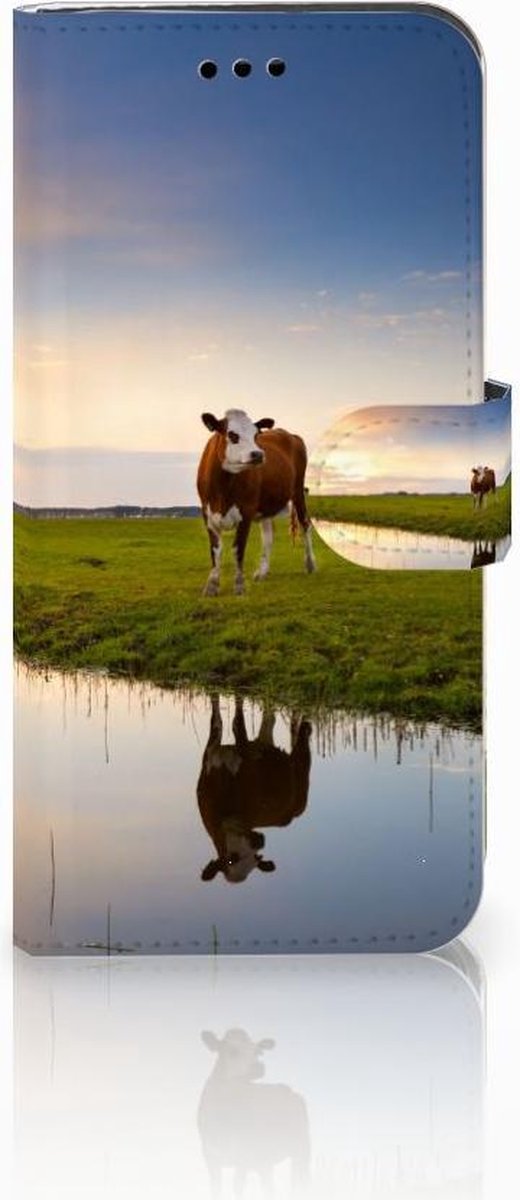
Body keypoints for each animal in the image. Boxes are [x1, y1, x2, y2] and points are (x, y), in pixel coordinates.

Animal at [197, 408, 316, 595]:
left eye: (255, 435)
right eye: (232, 435)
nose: (258, 454)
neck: (222, 490)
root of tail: (290, 435)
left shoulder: (246, 512)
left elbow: (238, 548)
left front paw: (239, 585)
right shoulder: (207, 514)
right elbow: (215, 550)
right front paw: (212, 586)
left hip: (298, 491)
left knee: (306, 524)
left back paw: (310, 564)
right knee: (268, 535)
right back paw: (262, 572)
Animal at [197, 696, 312, 884]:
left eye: (256, 858)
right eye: (231, 858)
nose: (260, 841)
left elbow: (237, 723)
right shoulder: (210, 754)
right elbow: (217, 720)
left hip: (302, 779)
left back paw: (305, 726)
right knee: (269, 720)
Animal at [198, 1028, 311, 1197]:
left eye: (258, 1051)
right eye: (232, 1050)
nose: (258, 1066)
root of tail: (289, 1089)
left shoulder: (243, 1157)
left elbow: (237, 1189)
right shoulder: (210, 1157)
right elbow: (216, 1189)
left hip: (302, 1149)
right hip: (264, 1160)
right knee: (270, 1186)